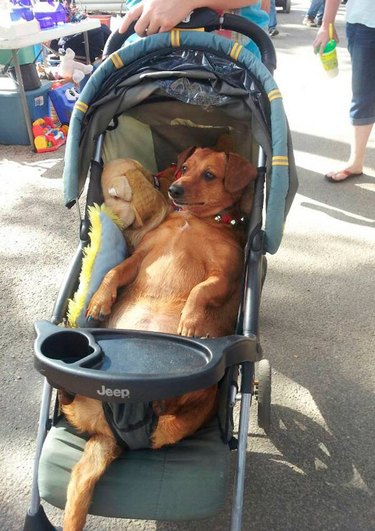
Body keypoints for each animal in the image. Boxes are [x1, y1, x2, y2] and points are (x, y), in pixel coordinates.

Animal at [61, 148, 258, 531]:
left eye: (209, 175)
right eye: (184, 168)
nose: (174, 190)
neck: (194, 221)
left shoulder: (224, 277)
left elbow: (200, 290)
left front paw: (191, 321)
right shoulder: (138, 257)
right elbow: (113, 272)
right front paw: (99, 301)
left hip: (196, 394)